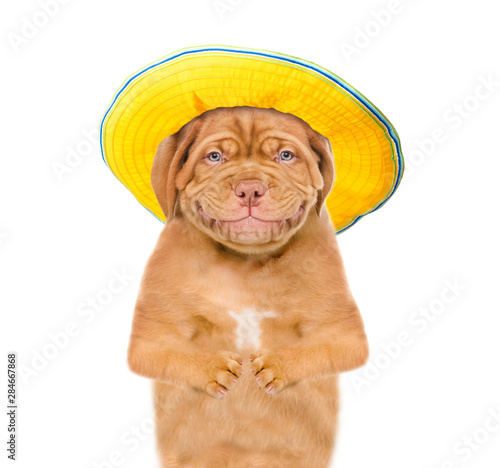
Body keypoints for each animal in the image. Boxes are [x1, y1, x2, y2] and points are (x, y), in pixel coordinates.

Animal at [127, 107, 370, 468]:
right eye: (214, 156)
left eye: (286, 155)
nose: (250, 189)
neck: (245, 261)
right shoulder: (149, 338)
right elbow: (170, 354)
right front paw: (212, 368)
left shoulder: (344, 333)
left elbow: (321, 350)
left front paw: (278, 365)